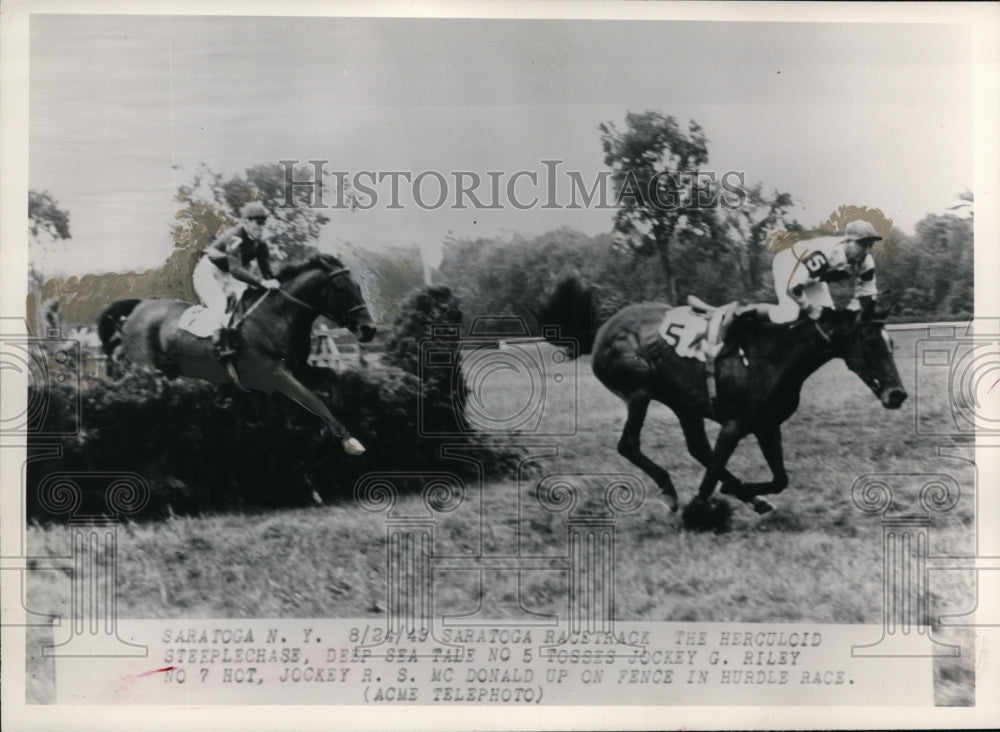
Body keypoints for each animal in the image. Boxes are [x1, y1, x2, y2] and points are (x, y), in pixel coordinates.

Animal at [95, 254, 376, 454]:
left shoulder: (296, 370)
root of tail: (139, 306)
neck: (278, 315)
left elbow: (331, 378)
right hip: (144, 366)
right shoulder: (276, 374)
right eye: (341, 289)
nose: (369, 329)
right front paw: (350, 440)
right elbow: (314, 400)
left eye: (359, 287)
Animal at [540, 278, 908, 524]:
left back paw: (748, 496)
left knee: (696, 448)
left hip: (684, 405)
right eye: (871, 341)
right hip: (639, 391)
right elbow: (714, 471)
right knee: (629, 444)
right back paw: (671, 492)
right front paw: (698, 511)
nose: (897, 394)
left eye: (892, 343)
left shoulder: (767, 425)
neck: (773, 354)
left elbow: (779, 479)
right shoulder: (735, 425)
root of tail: (601, 329)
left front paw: (745, 493)